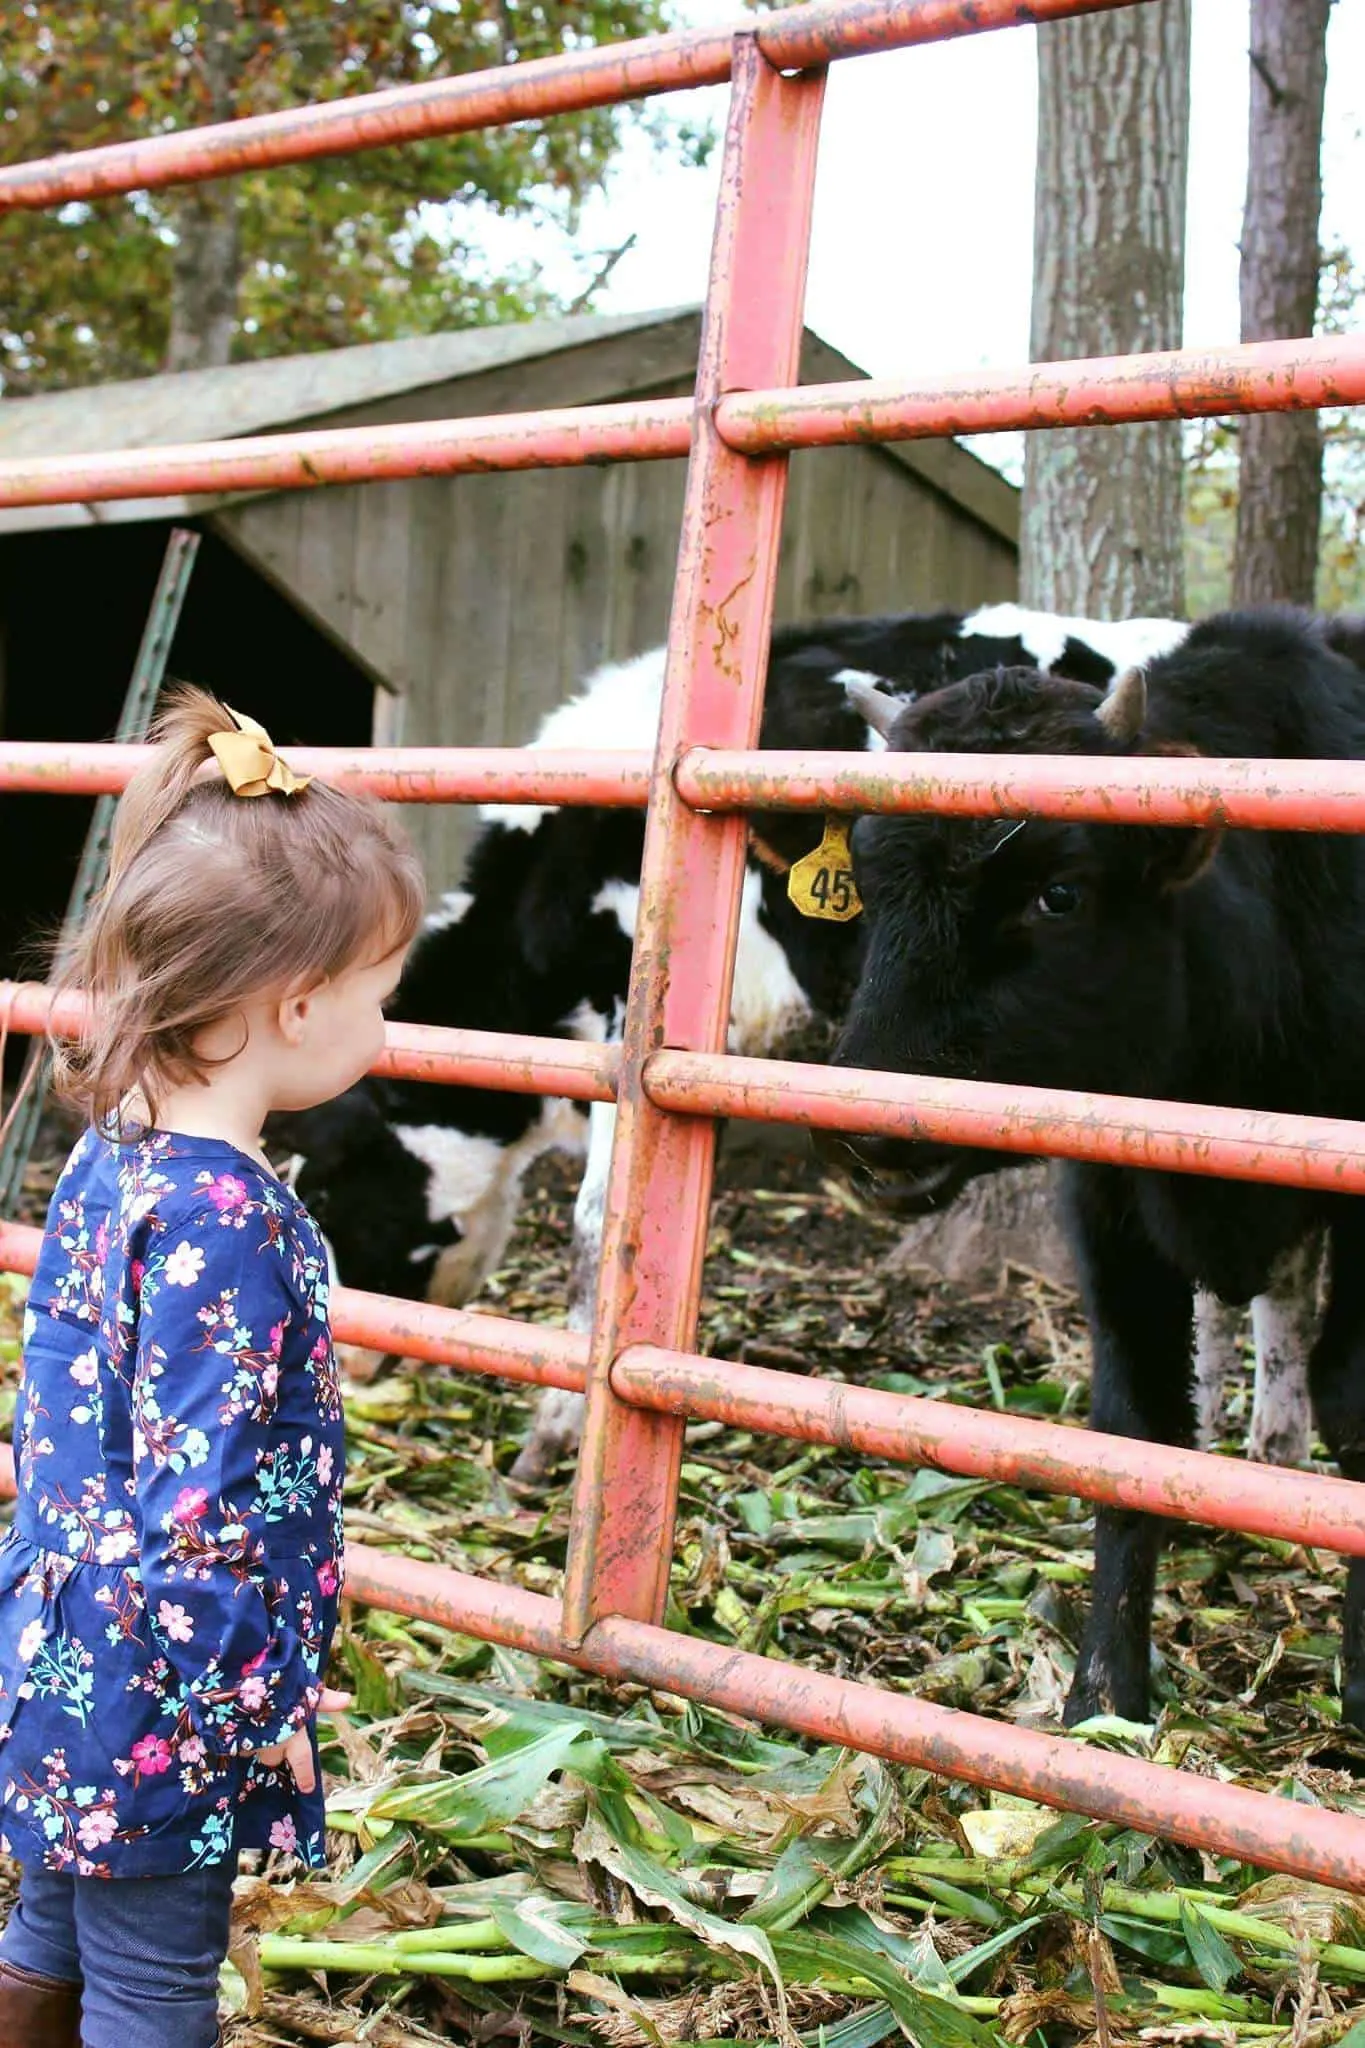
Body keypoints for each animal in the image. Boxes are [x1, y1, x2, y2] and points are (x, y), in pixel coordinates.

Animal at [822, 602, 1365, 1728]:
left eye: (1059, 892)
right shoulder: (1112, 1198)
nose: (869, 1131)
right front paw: (1105, 1692)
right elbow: (1130, 1428)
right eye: (867, 883)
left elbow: (1356, 1399)